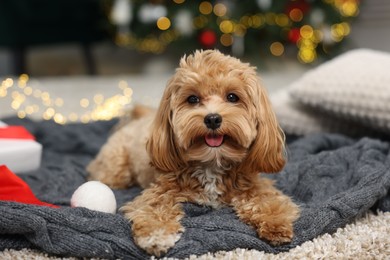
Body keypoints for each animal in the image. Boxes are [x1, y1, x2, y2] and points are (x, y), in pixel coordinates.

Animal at [87, 49, 300, 256]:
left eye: (232, 97)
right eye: (192, 99)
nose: (212, 119)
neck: (212, 164)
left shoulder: (252, 184)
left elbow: (267, 201)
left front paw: (276, 224)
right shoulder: (160, 190)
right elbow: (154, 208)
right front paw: (157, 235)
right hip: (116, 170)